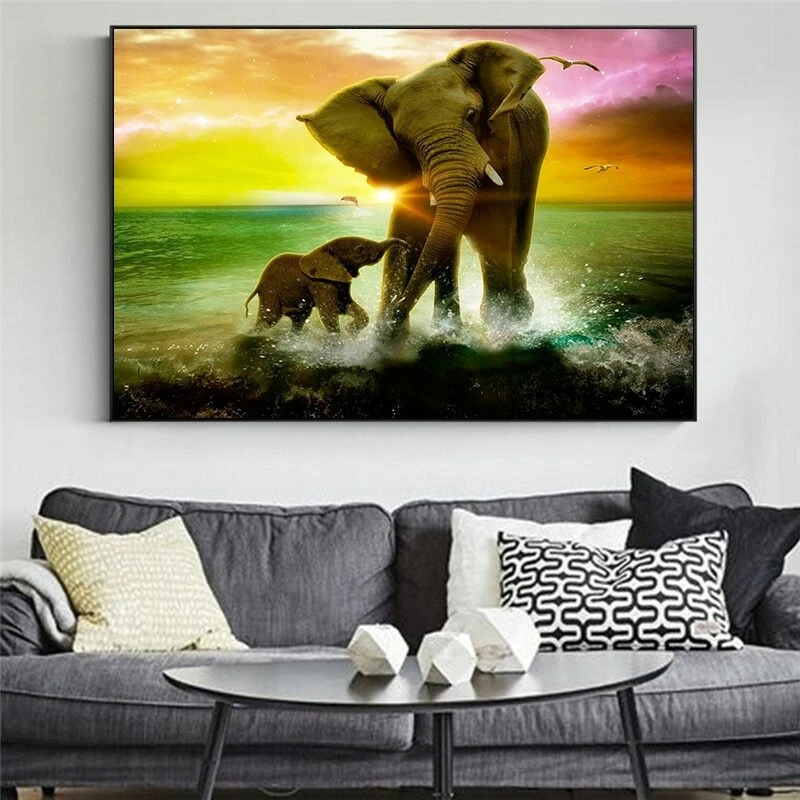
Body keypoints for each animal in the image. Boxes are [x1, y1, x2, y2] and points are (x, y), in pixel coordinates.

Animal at [245, 236, 408, 333]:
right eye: (359, 249)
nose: (407, 247)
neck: (325, 247)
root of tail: (258, 285)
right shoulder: (321, 284)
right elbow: (329, 313)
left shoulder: (340, 280)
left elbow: (344, 305)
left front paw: (350, 330)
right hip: (270, 292)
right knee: (269, 319)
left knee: (299, 317)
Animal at [298, 41, 597, 334]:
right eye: (403, 140)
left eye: (472, 115)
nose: (386, 321)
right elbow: (412, 227)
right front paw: (388, 337)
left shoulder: (505, 142)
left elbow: (494, 225)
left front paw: (505, 328)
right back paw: (449, 329)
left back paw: (516, 315)